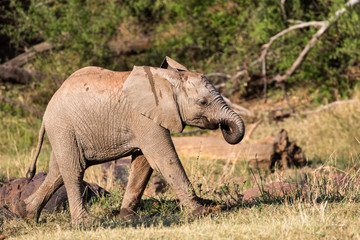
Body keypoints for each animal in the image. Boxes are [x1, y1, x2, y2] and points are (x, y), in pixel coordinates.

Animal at [14, 56, 245, 225]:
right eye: (203, 102)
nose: (225, 127)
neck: (167, 80)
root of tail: (49, 106)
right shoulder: (143, 118)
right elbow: (164, 159)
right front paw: (204, 212)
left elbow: (143, 164)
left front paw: (126, 219)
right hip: (63, 126)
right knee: (73, 169)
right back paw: (86, 223)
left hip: (64, 131)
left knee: (57, 171)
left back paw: (25, 214)